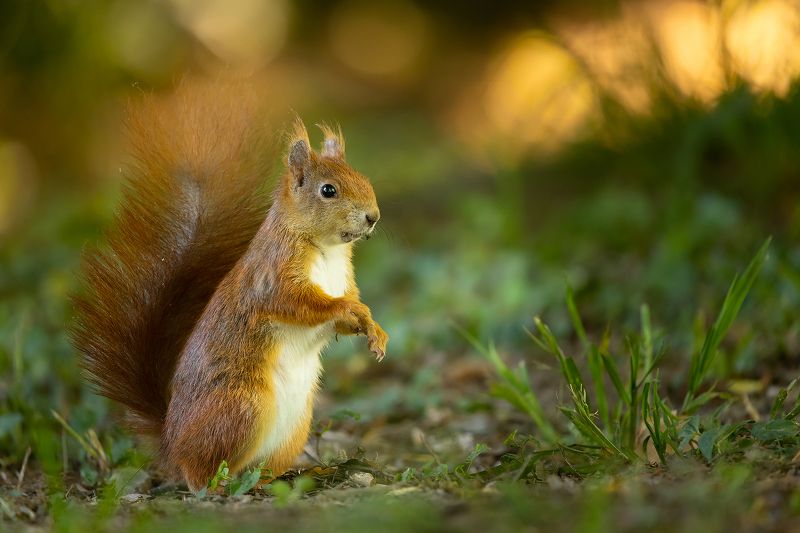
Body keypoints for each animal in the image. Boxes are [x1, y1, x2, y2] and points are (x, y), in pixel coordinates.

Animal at [70, 82, 388, 491]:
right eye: (328, 190)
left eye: (362, 177)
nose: (373, 217)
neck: (327, 249)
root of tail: (170, 445)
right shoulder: (272, 275)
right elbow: (297, 302)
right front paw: (349, 310)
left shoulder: (343, 280)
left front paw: (374, 329)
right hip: (242, 407)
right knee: (202, 472)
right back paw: (219, 484)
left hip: (294, 425)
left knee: (259, 469)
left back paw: (301, 473)